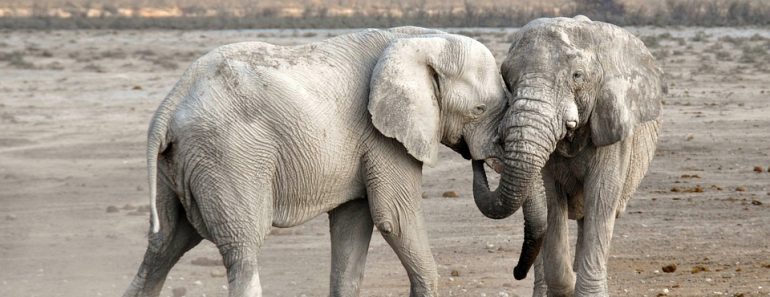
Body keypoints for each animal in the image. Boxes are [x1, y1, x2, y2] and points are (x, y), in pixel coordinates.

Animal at [123, 26, 508, 296]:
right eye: (478, 110)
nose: (478, 158)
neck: (422, 39)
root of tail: (170, 102)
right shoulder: (382, 136)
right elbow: (394, 218)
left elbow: (353, 228)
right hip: (228, 156)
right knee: (241, 249)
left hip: (179, 164)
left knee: (163, 247)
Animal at [472, 16, 664, 296]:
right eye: (506, 79)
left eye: (577, 76)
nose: (516, 272)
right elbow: (551, 202)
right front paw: (568, 285)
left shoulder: (612, 126)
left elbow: (601, 197)